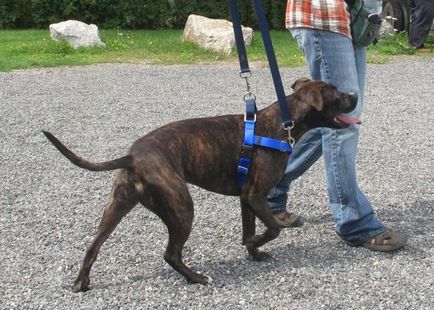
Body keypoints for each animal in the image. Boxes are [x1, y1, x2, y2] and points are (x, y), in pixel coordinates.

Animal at [42, 78, 360, 292]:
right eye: (337, 94)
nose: (355, 93)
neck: (282, 124)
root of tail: (133, 157)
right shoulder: (256, 196)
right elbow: (273, 228)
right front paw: (254, 244)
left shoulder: (246, 198)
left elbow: (250, 228)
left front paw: (254, 252)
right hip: (182, 207)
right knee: (171, 253)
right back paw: (196, 277)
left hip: (117, 206)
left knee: (93, 245)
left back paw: (81, 282)